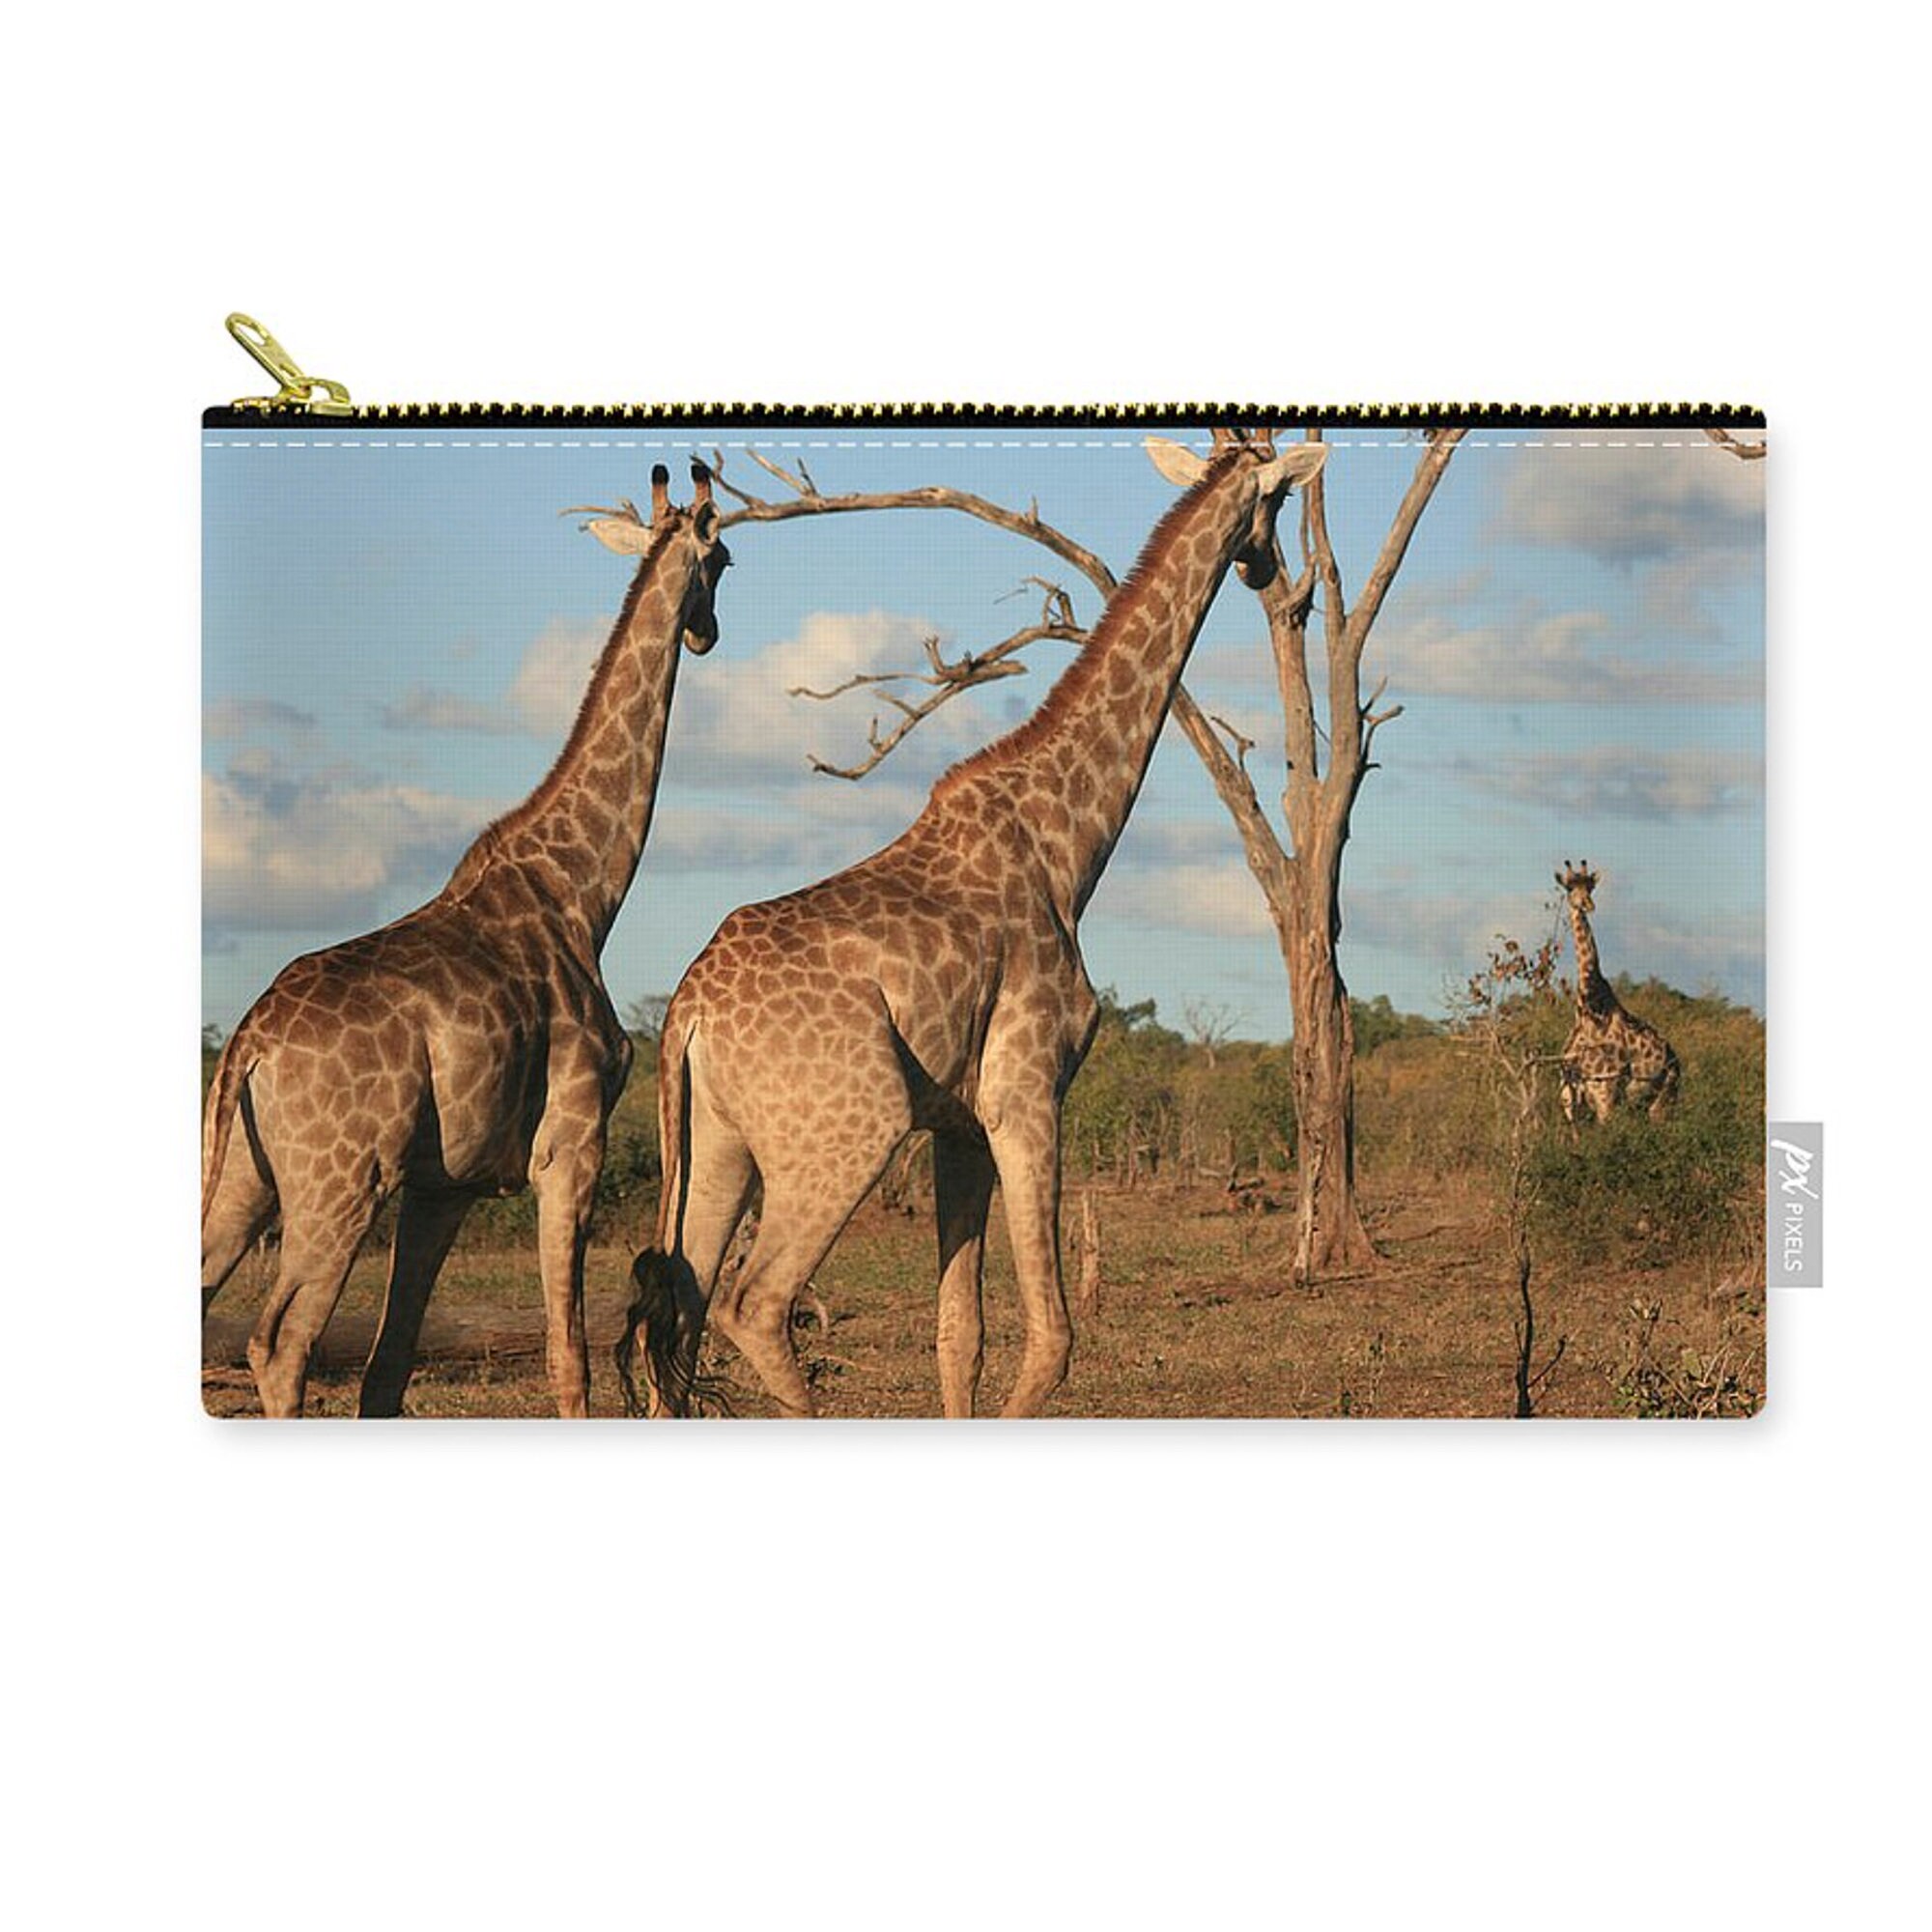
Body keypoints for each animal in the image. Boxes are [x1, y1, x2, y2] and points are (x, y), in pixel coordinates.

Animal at [201, 461, 732, 1417]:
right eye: (726, 561)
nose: (707, 632)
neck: (582, 892)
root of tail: (248, 1047)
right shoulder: (571, 1145)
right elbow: (569, 1357)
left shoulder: (442, 1186)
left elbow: (388, 1367)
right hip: (338, 1188)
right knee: (279, 1342)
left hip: (245, 1181)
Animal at [619, 430, 1327, 1419]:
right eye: (1276, 499)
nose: (1267, 569)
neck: (1068, 844)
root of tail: (688, 1013)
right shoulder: (1023, 1090)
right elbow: (1054, 1339)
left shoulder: (956, 1124)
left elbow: (961, 1336)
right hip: (843, 1137)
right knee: (751, 1306)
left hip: (716, 1143)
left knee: (675, 1318)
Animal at [1555, 860, 1681, 1124]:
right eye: (1570, 888)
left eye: (1591, 888)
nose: (1588, 905)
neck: (1588, 1007)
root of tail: (1676, 1060)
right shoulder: (1569, 1093)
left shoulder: (1605, 1091)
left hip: (1664, 1099)